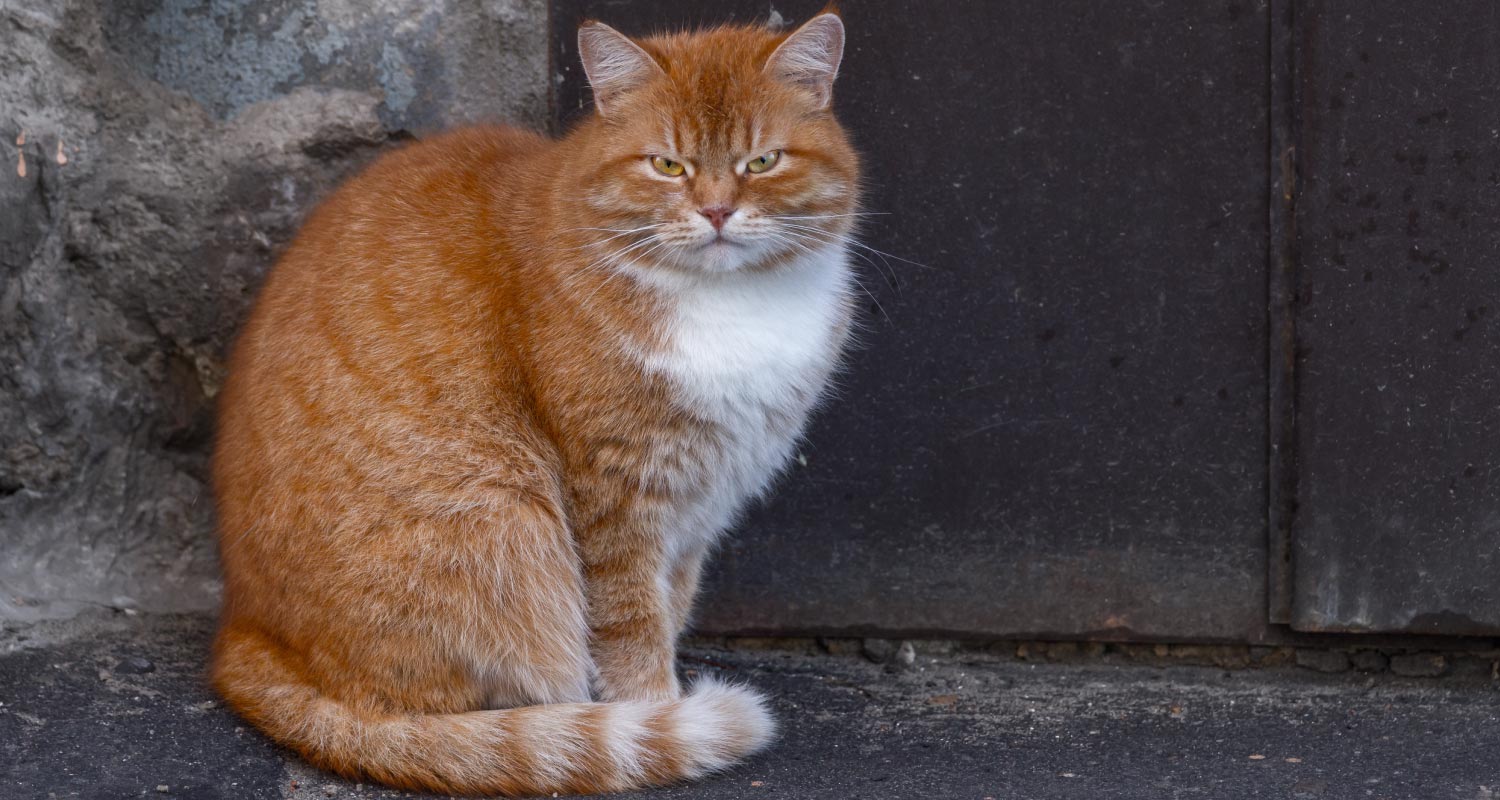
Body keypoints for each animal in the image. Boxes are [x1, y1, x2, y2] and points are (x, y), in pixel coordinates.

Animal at [214, 9, 870, 792]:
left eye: (762, 162)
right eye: (667, 165)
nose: (716, 210)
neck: (729, 306)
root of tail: (246, 632)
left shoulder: (701, 502)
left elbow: (671, 602)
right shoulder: (617, 491)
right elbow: (631, 625)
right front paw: (656, 713)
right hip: (499, 516)